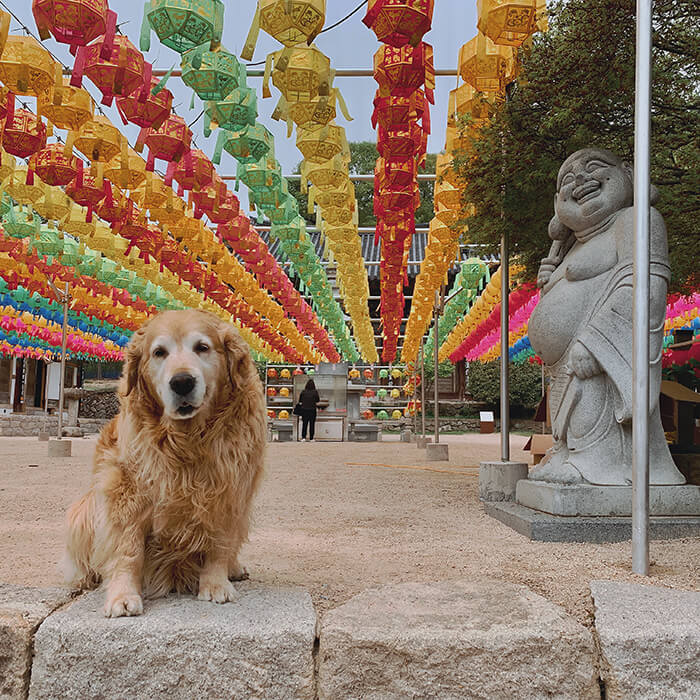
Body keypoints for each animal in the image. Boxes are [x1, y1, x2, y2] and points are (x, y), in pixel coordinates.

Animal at [63, 308, 266, 616]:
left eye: (202, 347)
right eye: (159, 352)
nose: (182, 382)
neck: (188, 439)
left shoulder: (230, 490)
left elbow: (220, 544)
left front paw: (216, 584)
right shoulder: (126, 490)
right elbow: (128, 549)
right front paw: (122, 594)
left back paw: (234, 568)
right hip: (83, 512)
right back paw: (84, 579)